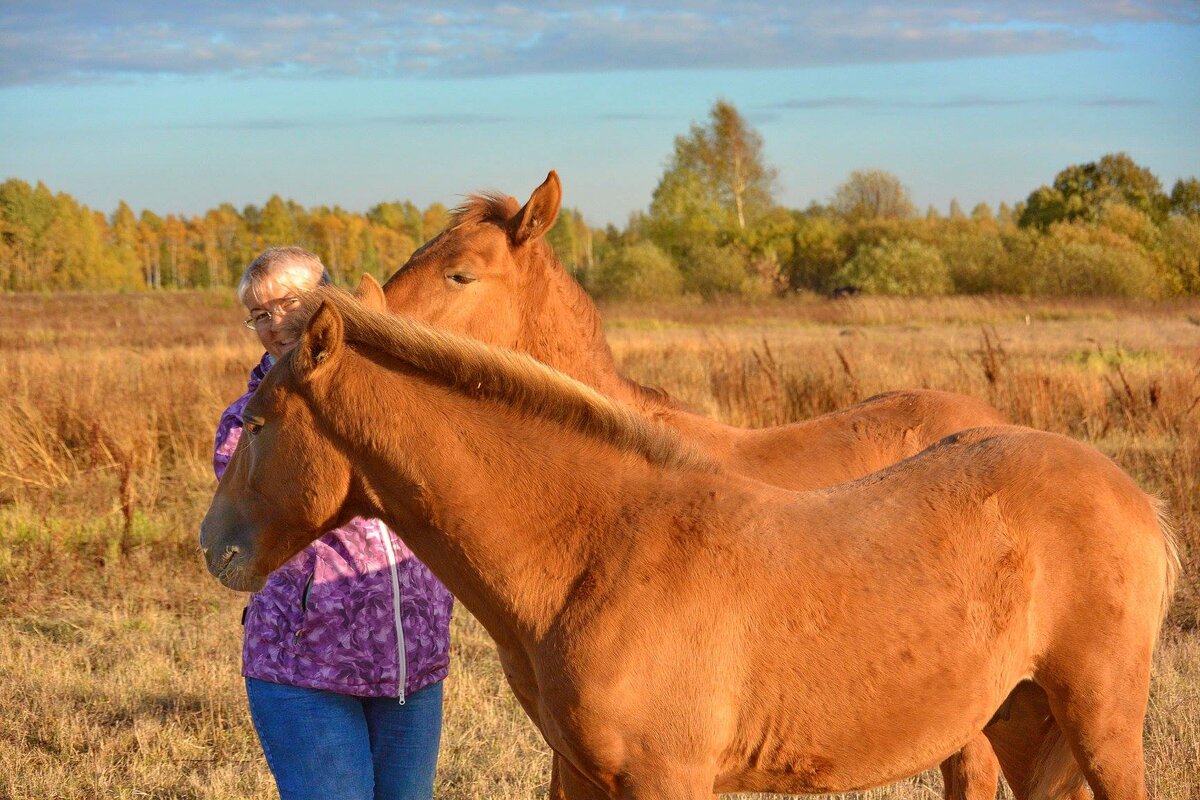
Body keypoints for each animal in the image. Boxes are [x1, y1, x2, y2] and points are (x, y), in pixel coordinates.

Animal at [201, 287, 1176, 800]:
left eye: (259, 422)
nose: (215, 547)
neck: (594, 555)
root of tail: (1136, 498)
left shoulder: (666, 780)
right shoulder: (583, 776)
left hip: (1098, 719)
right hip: (1020, 716)